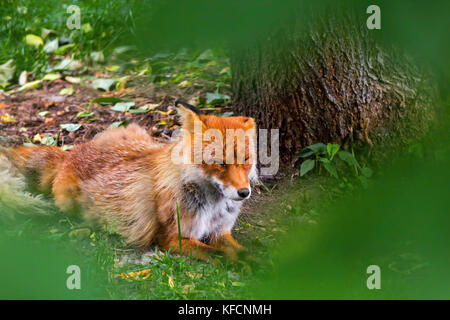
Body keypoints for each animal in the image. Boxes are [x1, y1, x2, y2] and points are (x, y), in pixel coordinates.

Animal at [0, 101, 258, 262]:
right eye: (220, 163)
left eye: (245, 159)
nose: (244, 193)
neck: (212, 206)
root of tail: (70, 154)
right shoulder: (172, 239)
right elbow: (220, 255)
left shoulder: (220, 232)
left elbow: (244, 253)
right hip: (68, 201)